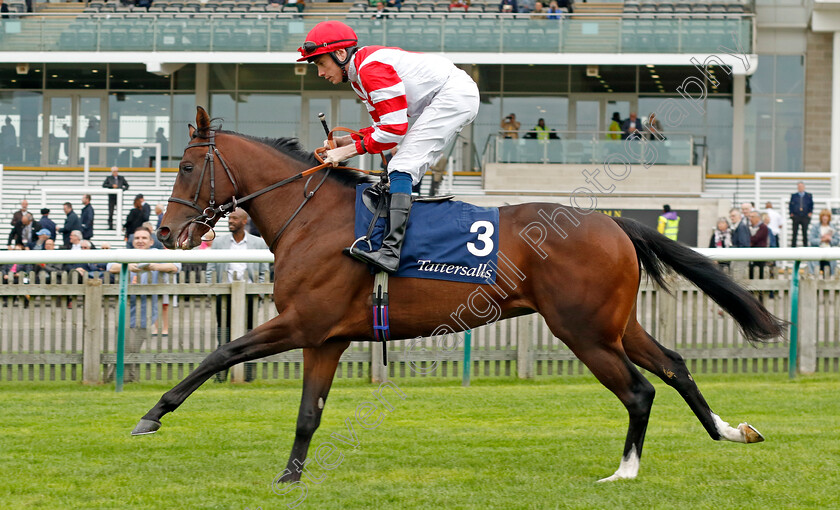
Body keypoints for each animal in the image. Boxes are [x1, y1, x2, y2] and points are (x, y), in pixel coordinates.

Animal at [135, 106, 784, 482]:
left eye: (187, 167)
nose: (164, 233)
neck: (311, 217)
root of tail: (614, 223)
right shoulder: (326, 338)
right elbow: (307, 414)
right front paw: (290, 479)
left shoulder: (301, 322)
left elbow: (221, 354)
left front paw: (151, 416)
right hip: (615, 324)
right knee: (674, 367)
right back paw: (730, 431)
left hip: (583, 331)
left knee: (639, 390)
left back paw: (624, 473)